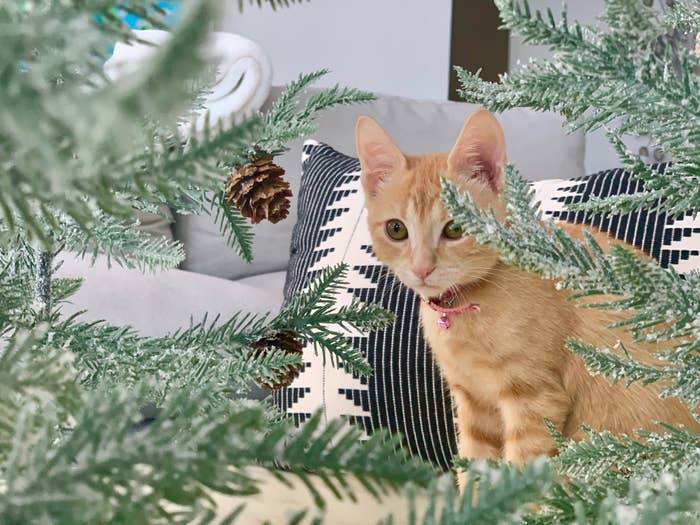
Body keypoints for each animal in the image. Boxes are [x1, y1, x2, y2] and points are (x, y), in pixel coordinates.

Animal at [356, 108, 700, 486]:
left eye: (456, 229)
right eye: (396, 229)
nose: (421, 268)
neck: (464, 309)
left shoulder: (535, 400)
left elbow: (520, 475)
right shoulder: (474, 405)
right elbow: (475, 467)